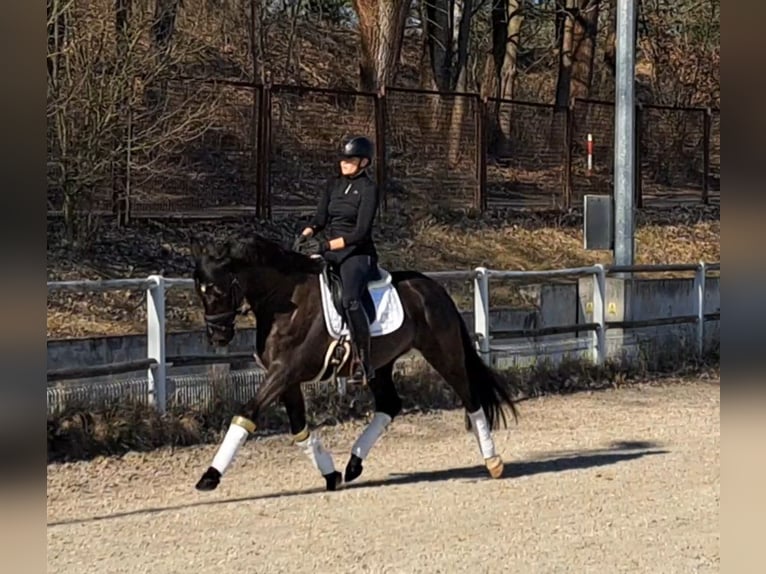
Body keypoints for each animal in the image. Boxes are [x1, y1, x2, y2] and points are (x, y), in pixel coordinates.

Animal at [190, 234, 519, 492]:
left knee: (471, 398)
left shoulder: (285, 372)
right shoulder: (286, 378)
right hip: (380, 363)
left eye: (217, 290)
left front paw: (209, 477)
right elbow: (298, 429)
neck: (286, 301)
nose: (218, 335)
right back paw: (353, 465)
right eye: (199, 291)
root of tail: (433, 288)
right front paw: (331, 474)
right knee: (389, 404)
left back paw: (493, 462)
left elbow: (247, 413)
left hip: (443, 353)